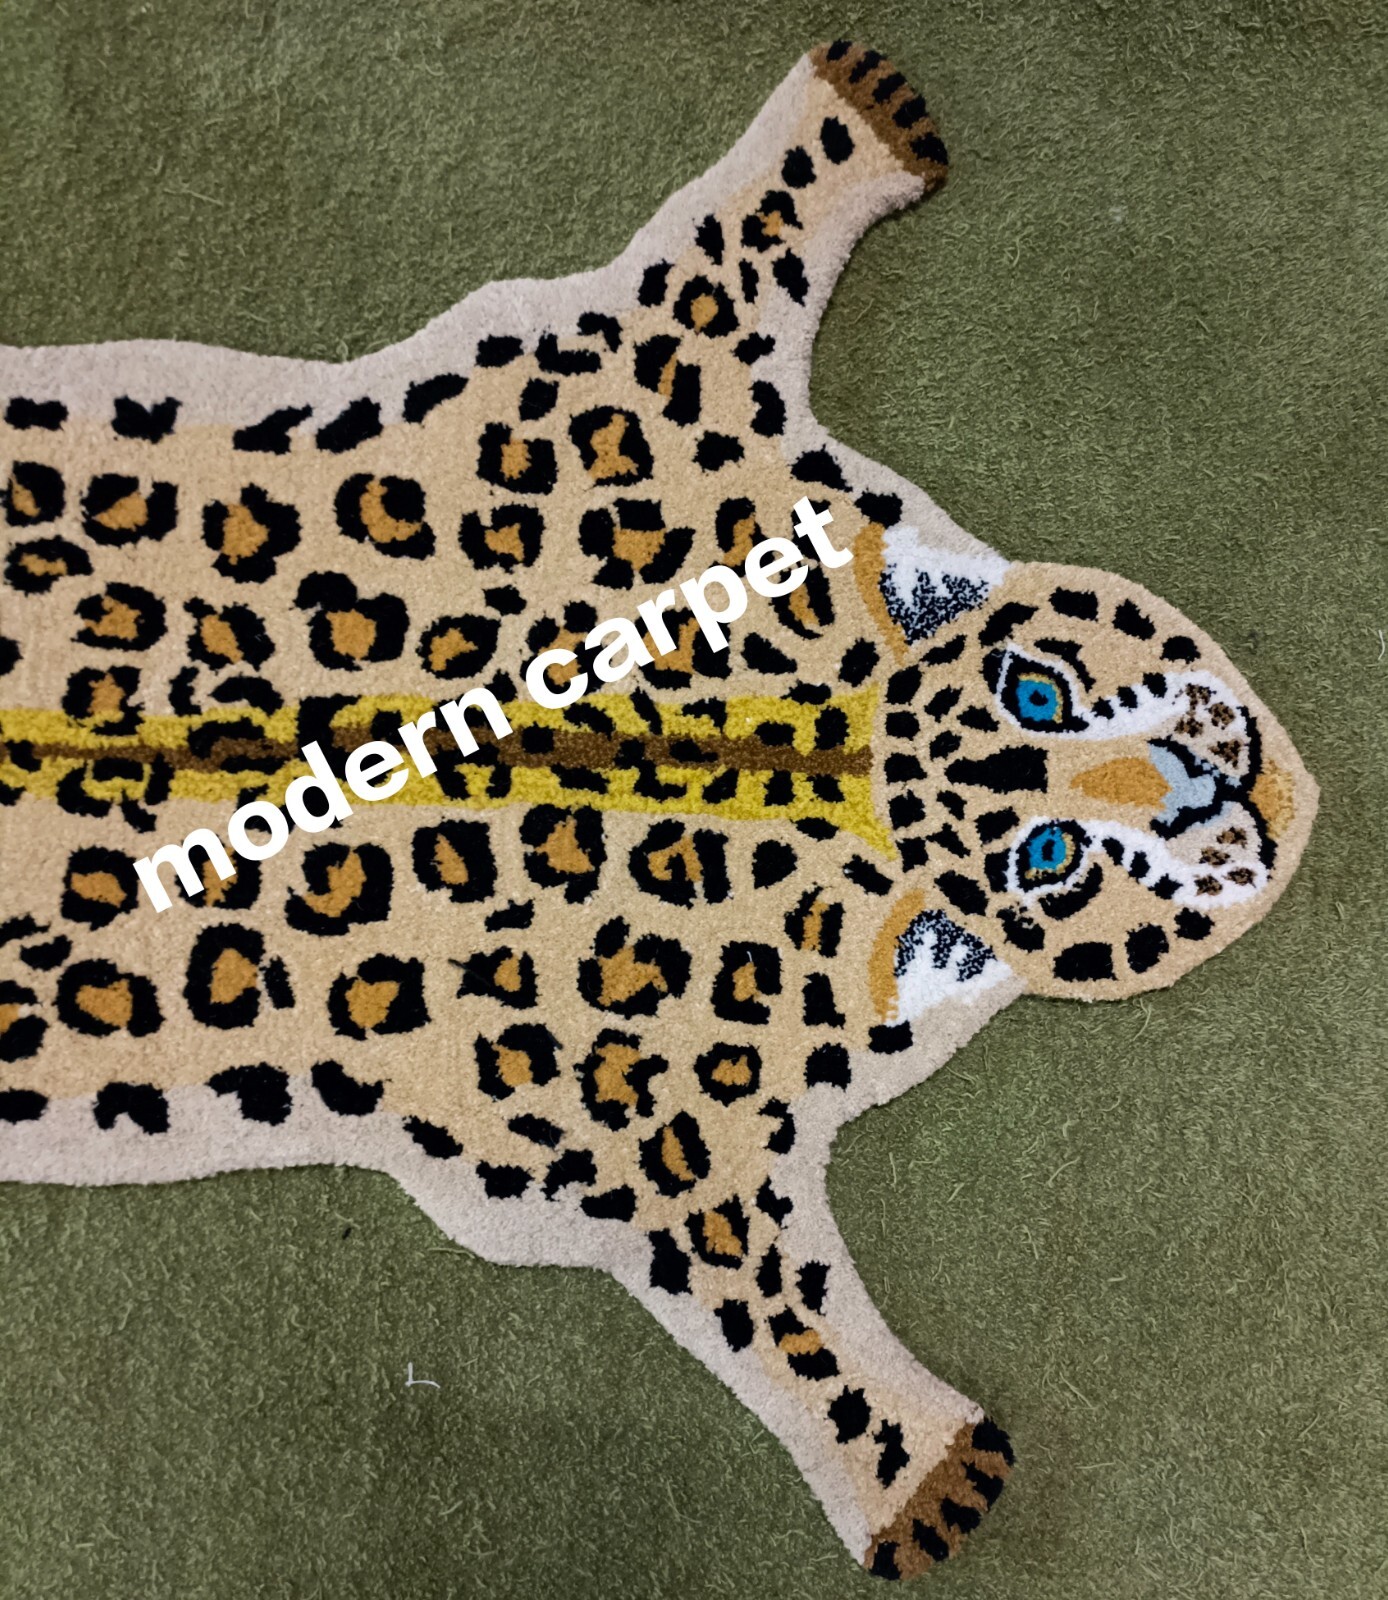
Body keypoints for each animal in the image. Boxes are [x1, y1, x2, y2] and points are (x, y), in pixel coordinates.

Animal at [0, 40, 1316, 1581]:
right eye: (1051, 851)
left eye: (1043, 696)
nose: (1219, 779)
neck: (846, 757)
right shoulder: (656, 1150)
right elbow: (776, 1305)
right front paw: (915, 1465)